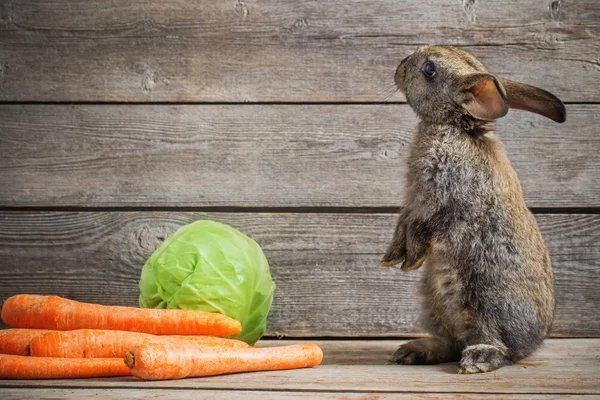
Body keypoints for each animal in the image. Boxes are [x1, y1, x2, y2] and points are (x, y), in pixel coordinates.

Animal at [382, 45, 564, 374]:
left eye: (429, 69)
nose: (401, 65)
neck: (453, 126)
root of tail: (533, 343)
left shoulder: (446, 201)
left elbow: (424, 225)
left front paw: (411, 258)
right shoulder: (412, 203)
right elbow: (403, 224)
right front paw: (392, 258)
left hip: (484, 299)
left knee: (496, 346)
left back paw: (477, 359)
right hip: (434, 303)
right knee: (452, 342)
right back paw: (413, 351)